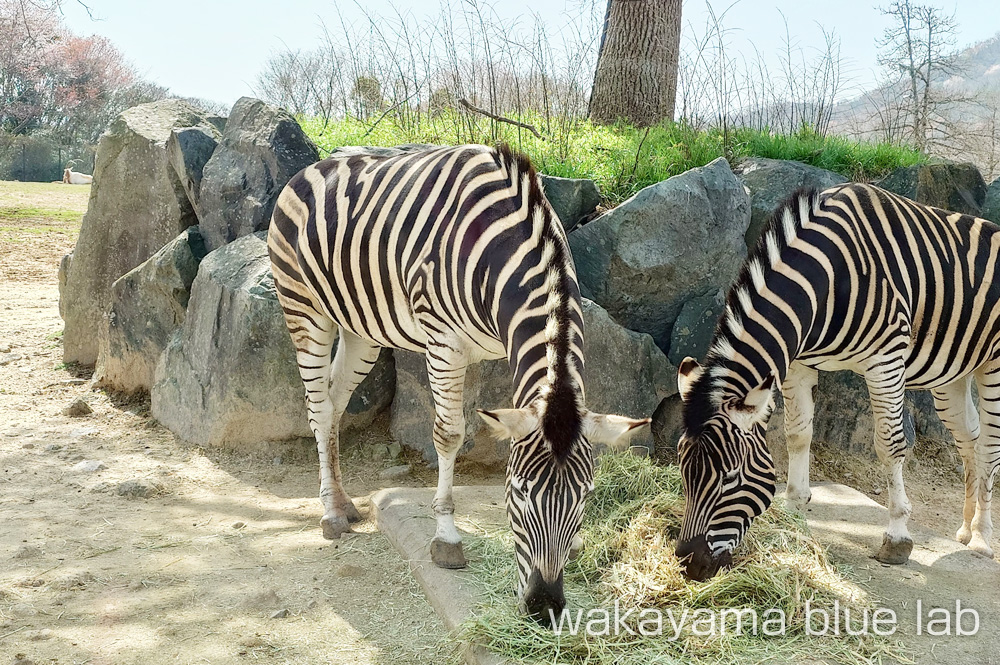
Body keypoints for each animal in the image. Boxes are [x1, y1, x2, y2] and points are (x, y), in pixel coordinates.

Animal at [264, 144, 648, 616]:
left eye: (587, 497)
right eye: (518, 493)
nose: (544, 606)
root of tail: (311, 166)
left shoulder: (500, 345)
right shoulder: (444, 340)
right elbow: (449, 434)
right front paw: (446, 538)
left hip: (360, 329)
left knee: (335, 402)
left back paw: (343, 502)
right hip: (304, 310)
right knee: (318, 407)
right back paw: (331, 515)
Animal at [672, 183, 1000, 580]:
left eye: (731, 477)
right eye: (682, 469)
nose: (688, 562)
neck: (826, 279)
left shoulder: (885, 357)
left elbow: (889, 445)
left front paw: (897, 537)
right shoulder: (798, 363)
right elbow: (798, 434)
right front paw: (795, 510)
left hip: (995, 365)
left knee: (990, 447)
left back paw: (982, 538)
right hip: (953, 373)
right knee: (971, 439)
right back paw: (966, 529)